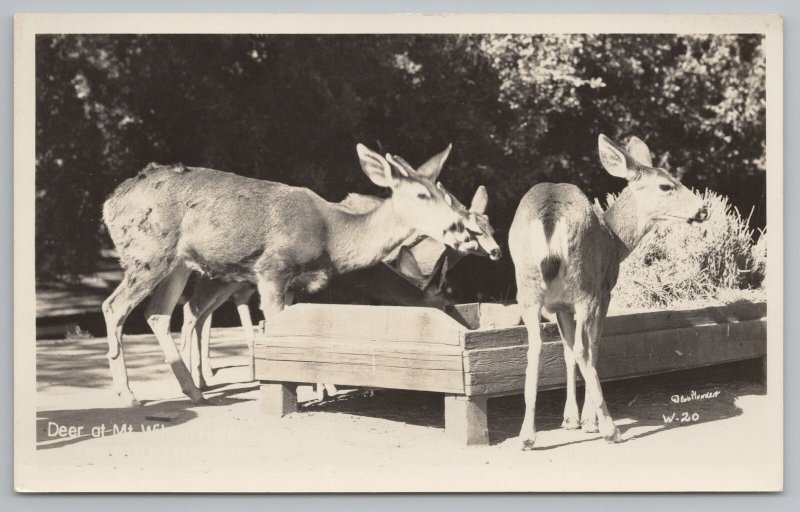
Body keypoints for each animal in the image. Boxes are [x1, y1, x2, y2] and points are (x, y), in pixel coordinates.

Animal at [99, 142, 476, 406]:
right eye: (423, 194)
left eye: (444, 194)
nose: (461, 228)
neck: (331, 235)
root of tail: (109, 203)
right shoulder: (272, 269)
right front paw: (300, 389)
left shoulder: (297, 284)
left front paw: (316, 385)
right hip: (148, 253)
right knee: (114, 306)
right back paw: (128, 394)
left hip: (177, 262)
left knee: (158, 313)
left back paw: (193, 391)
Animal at [510, 134, 708, 450]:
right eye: (666, 185)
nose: (703, 209)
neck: (616, 242)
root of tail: (550, 217)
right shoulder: (604, 292)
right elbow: (592, 348)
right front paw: (588, 421)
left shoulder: (561, 306)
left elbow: (566, 351)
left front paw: (571, 419)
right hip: (585, 286)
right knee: (583, 349)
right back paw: (610, 428)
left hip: (527, 290)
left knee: (536, 347)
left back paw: (527, 435)